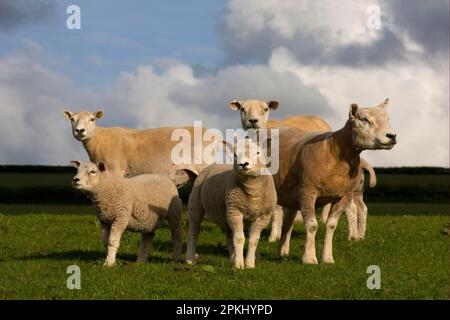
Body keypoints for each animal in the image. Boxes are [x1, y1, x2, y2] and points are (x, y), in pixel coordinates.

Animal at [185, 136, 276, 268]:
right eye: (235, 155)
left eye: (258, 152)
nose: (243, 164)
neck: (252, 191)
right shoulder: (235, 211)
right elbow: (239, 239)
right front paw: (239, 265)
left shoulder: (263, 216)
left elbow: (253, 240)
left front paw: (249, 264)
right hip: (196, 204)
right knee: (193, 230)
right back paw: (190, 259)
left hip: (227, 212)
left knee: (229, 235)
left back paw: (233, 258)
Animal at [274, 99, 398, 264]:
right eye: (364, 119)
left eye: (387, 119)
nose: (392, 136)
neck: (334, 151)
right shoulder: (307, 191)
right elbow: (312, 226)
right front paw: (309, 258)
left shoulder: (343, 196)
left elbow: (331, 225)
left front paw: (327, 258)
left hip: (291, 196)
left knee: (287, 223)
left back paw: (282, 252)